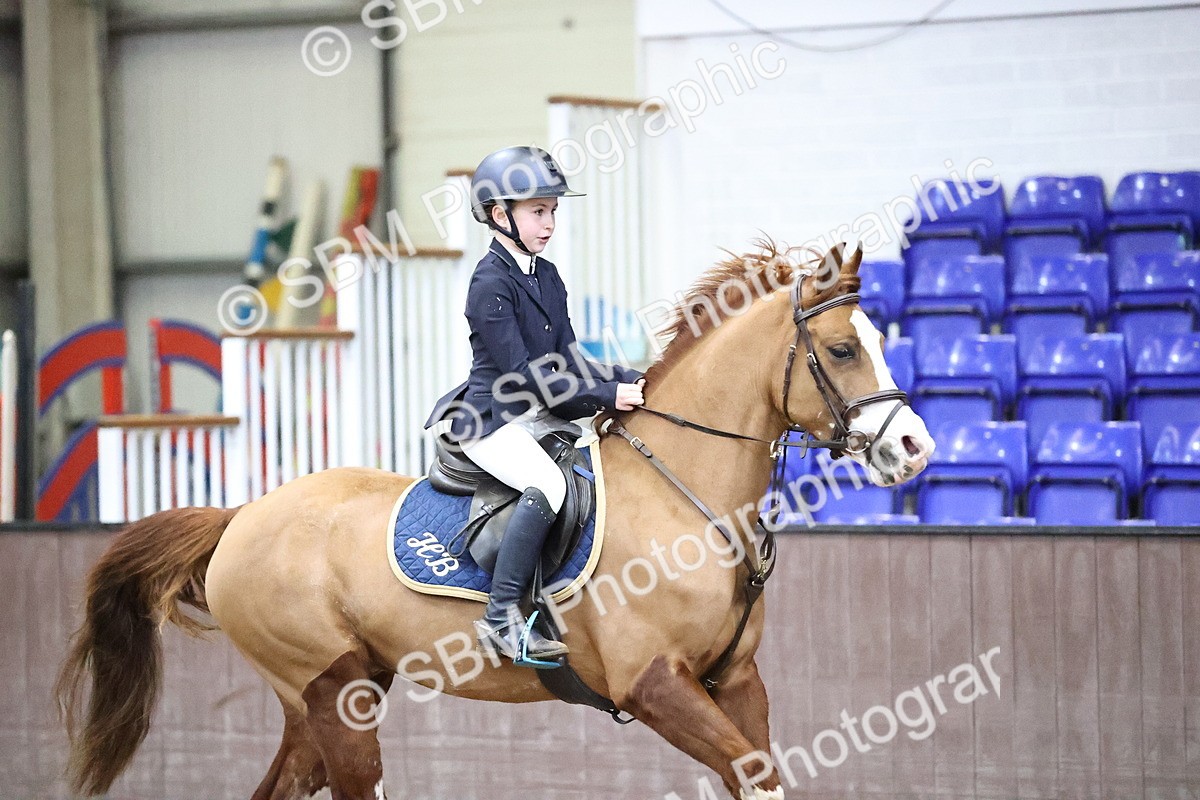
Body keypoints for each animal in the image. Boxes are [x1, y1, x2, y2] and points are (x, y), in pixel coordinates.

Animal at [55, 241, 935, 800]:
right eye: (842, 350)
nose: (917, 447)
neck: (683, 495)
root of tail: (242, 515)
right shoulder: (656, 686)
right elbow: (752, 772)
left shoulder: (736, 683)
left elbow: (759, 776)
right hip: (332, 693)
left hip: (322, 700)